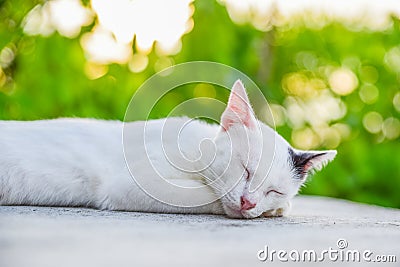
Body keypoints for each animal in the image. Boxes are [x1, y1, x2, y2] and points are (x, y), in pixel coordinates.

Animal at [0, 80, 338, 219]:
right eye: (245, 169)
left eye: (274, 190)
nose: (248, 202)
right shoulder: (130, 184)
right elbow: (205, 197)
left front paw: (275, 208)